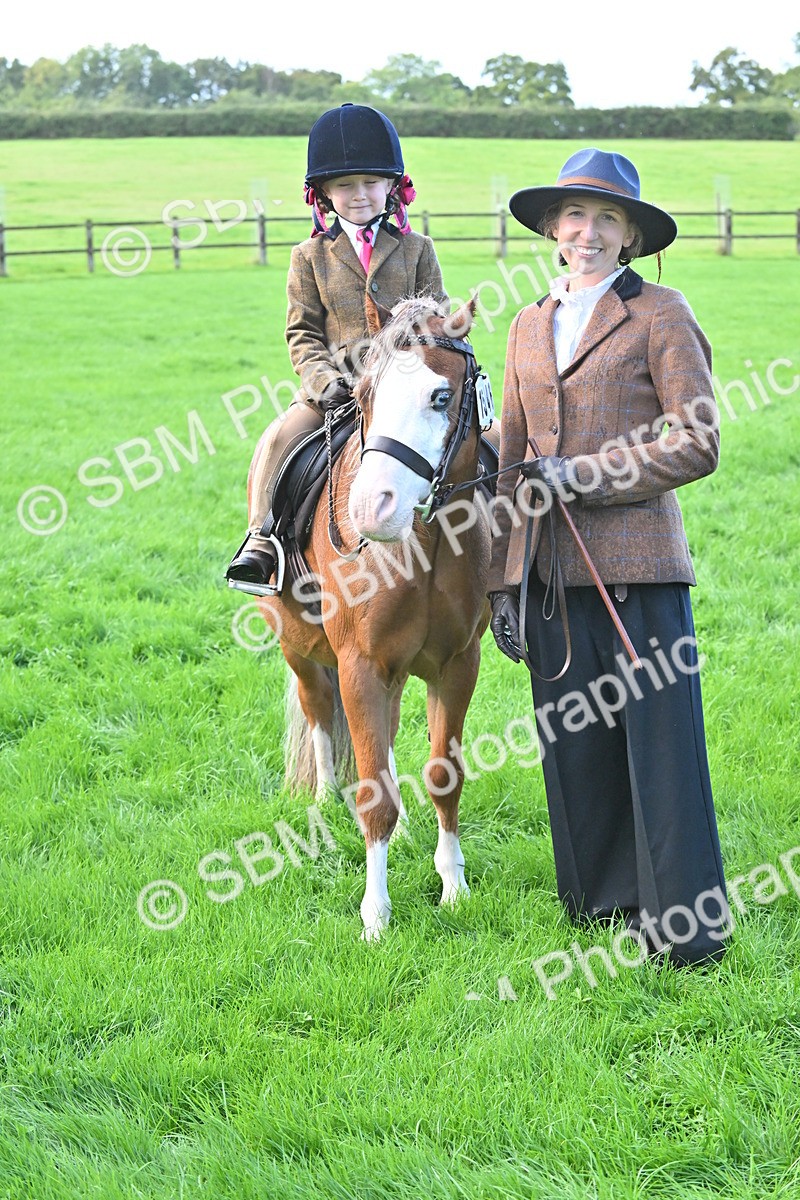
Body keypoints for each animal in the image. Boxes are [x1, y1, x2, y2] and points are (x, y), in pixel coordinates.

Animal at [257, 295, 492, 940]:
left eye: (441, 396)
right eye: (362, 396)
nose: (369, 510)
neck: (425, 544)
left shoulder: (455, 665)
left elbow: (443, 775)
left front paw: (453, 886)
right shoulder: (358, 665)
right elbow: (371, 798)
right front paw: (376, 916)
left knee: (382, 740)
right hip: (300, 651)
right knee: (319, 717)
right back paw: (322, 807)